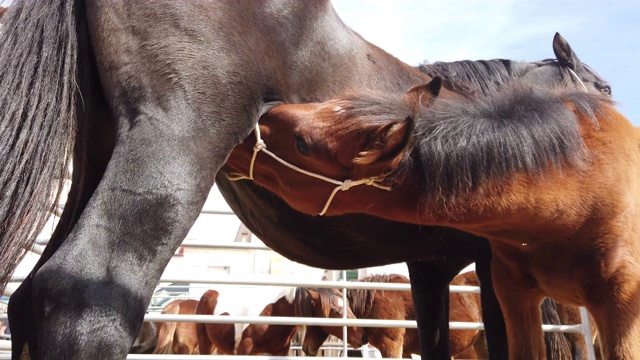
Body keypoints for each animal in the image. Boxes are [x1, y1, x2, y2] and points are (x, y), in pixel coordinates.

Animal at [194, 286, 364, 356]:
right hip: (205, 344)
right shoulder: (244, 350)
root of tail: (209, 293)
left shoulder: (280, 352)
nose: (363, 337)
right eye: (335, 311)